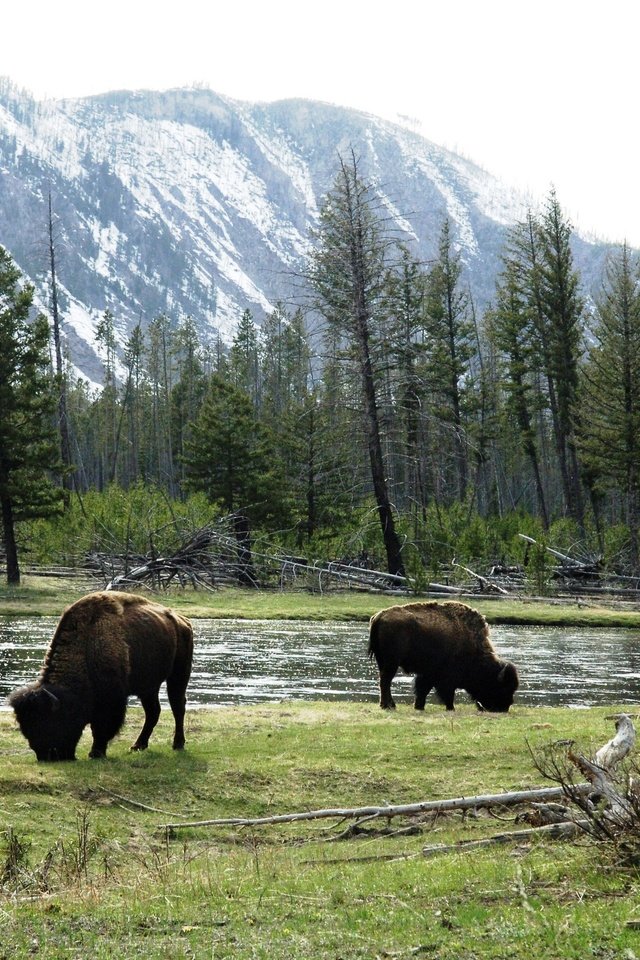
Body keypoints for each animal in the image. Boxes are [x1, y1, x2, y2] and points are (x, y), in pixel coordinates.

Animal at [8, 588, 192, 760]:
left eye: (48, 723)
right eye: (26, 729)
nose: (47, 757)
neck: (86, 647)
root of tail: (183, 621)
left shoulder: (111, 700)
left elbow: (101, 727)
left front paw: (96, 752)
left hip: (178, 675)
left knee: (177, 707)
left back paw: (177, 744)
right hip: (148, 687)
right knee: (153, 711)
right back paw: (138, 745)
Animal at [368, 600, 516, 712]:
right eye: (502, 687)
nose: (504, 708)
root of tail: (378, 617)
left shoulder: (428, 674)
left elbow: (422, 690)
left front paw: (419, 706)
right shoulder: (447, 678)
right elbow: (447, 694)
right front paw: (451, 708)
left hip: (383, 662)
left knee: (383, 681)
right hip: (391, 663)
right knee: (385, 681)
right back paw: (389, 706)